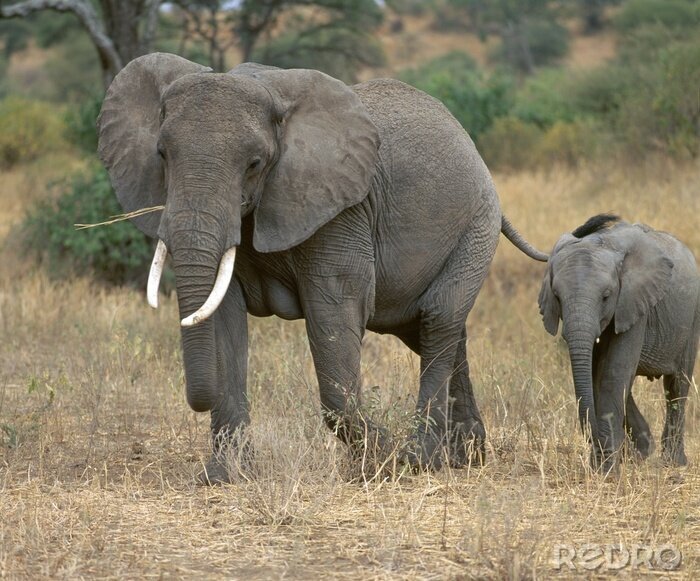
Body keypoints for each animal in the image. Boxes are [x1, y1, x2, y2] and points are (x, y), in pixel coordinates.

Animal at [97, 53, 548, 483]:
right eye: (161, 155)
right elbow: (221, 316)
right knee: (431, 330)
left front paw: (384, 460)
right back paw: (465, 457)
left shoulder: (342, 212)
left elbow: (333, 312)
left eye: (255, 164)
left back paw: (422, 458)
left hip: (476, 226)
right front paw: (223, 477)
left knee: (439, 319)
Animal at [539, 214, 700, 471]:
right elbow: (598, 375)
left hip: (691, 317)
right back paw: (641, 452)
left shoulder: (633, 303)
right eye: (557, 297)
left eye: (606, 296)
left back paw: (673, 462)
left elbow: (613, 374)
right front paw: (606, 464)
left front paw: (606, 471)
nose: (594, 439)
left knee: (677, 384)